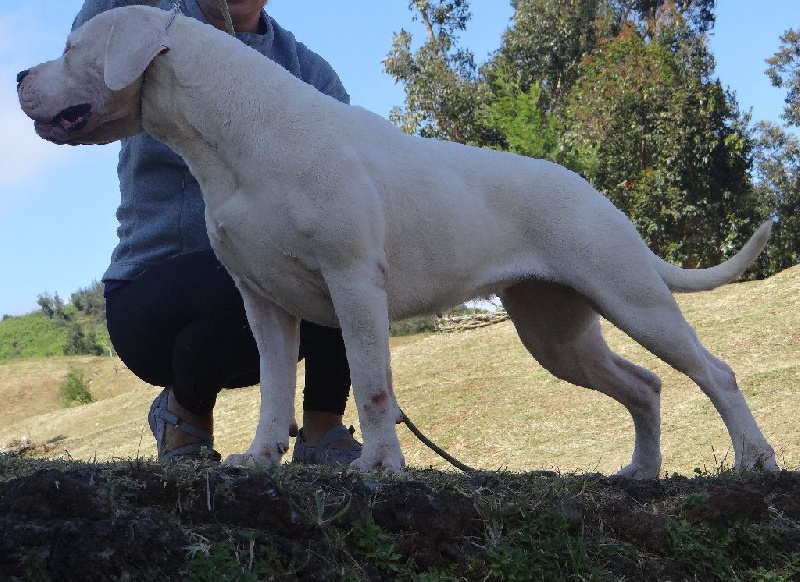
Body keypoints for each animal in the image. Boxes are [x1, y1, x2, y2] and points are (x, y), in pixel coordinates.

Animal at [18, 5, 780, 480]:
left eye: (71, 50)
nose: (20, 76)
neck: (232, 136)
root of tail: (595, 192)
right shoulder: (263, 303)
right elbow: (273, 389)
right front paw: (260, 457)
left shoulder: (353, 282)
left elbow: (372, 382)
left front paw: (380, 465)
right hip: (557, 335)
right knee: (644, 387)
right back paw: (642, 472)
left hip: (631, 298)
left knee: (714, 373)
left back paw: (754, 458)